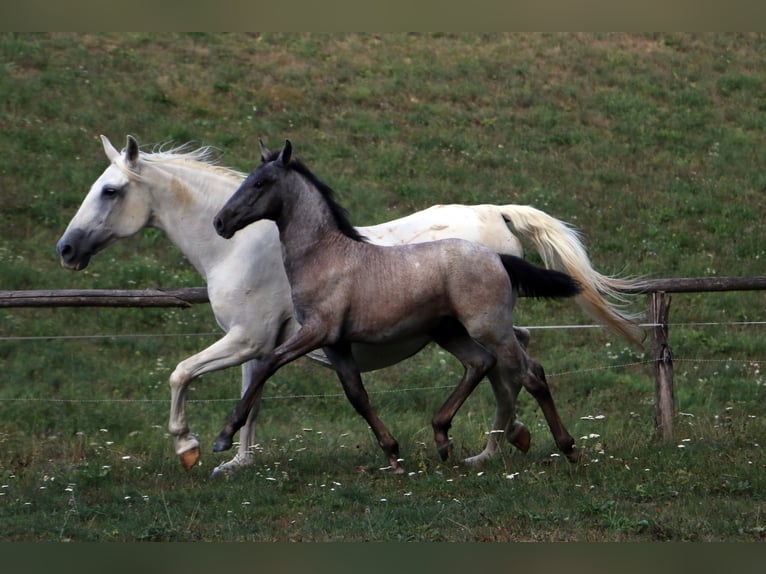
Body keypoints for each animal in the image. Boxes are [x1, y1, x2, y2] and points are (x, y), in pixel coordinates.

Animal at [55, 135, 640, 476]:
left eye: (110, 191)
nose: (66, 249)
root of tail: (495, 212)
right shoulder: (267, 341)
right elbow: (258, 393)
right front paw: (236, 458)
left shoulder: (252, 336)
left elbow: (184, 373)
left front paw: (191, 445)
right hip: (460, 328)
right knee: (505, 364)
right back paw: (497, 441)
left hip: (481, 322)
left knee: (516, 366)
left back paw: (520, 444)